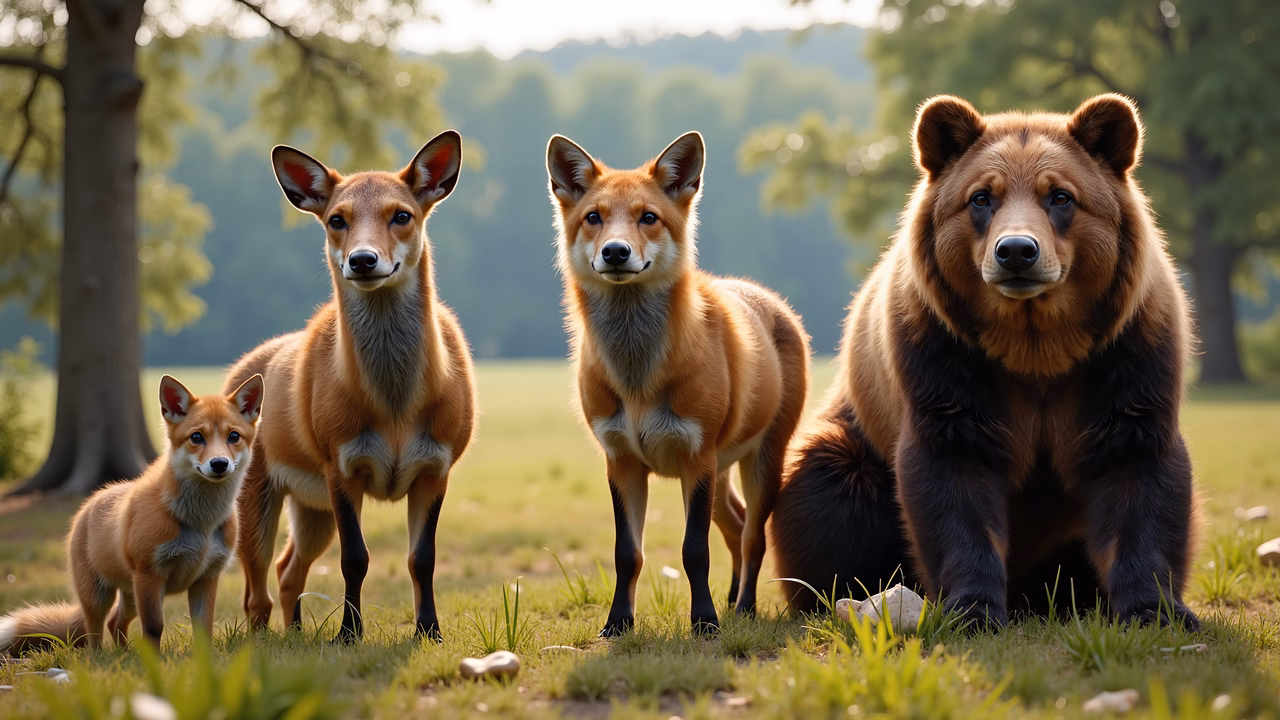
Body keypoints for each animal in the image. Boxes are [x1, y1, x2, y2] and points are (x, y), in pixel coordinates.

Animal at [0, 375, 264, 654]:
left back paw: (125, 655)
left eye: (233, 436)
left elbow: (204, 630)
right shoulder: (149, 575)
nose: (219, 464)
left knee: (116, 622)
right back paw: (100, 658)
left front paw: (205, 661)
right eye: (196, 437)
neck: (201, 523)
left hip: (131, 597)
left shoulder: (207, 577)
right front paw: (155, 662)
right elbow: (154, 628)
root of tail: (92, 500)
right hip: (101, 596)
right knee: (93, 634)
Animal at [223, 130, 475, 644]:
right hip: (257, 499)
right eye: (337, 220)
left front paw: (429, 631)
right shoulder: (341, 464)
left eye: (402, 215)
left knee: (288, 570)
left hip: (311, 509)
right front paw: (348, 634)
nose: (363, 260)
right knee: (256, 588)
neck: (395, 411)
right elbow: (355, 559)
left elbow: (422, 560)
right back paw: (265, 641)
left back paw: (296, 634)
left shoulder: (436, 467)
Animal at [545, 131, 810, 636]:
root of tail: (762, 294)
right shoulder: (621, 461)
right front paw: (618, 624)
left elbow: (694, 552)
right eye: (594, 217)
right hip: (722, 475)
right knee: (735, 528)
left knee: (752, 537)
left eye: (648, 217)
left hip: (760, 464)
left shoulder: (695, 457)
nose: (615, 252)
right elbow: (627, 555)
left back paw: (743, 607)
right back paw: (732, 599)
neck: (638, 381)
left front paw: (704, 622)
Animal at [769, 93, 1199, 630]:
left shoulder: (1125, 355)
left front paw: (1155, 609)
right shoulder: (945, 359)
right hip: (855, 436)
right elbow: (954, 479)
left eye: (1061, 196)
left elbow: (1136, 472)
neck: (1035, 346)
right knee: (825, 495)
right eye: (980, 198)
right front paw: (971, 608)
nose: (1016, 251)